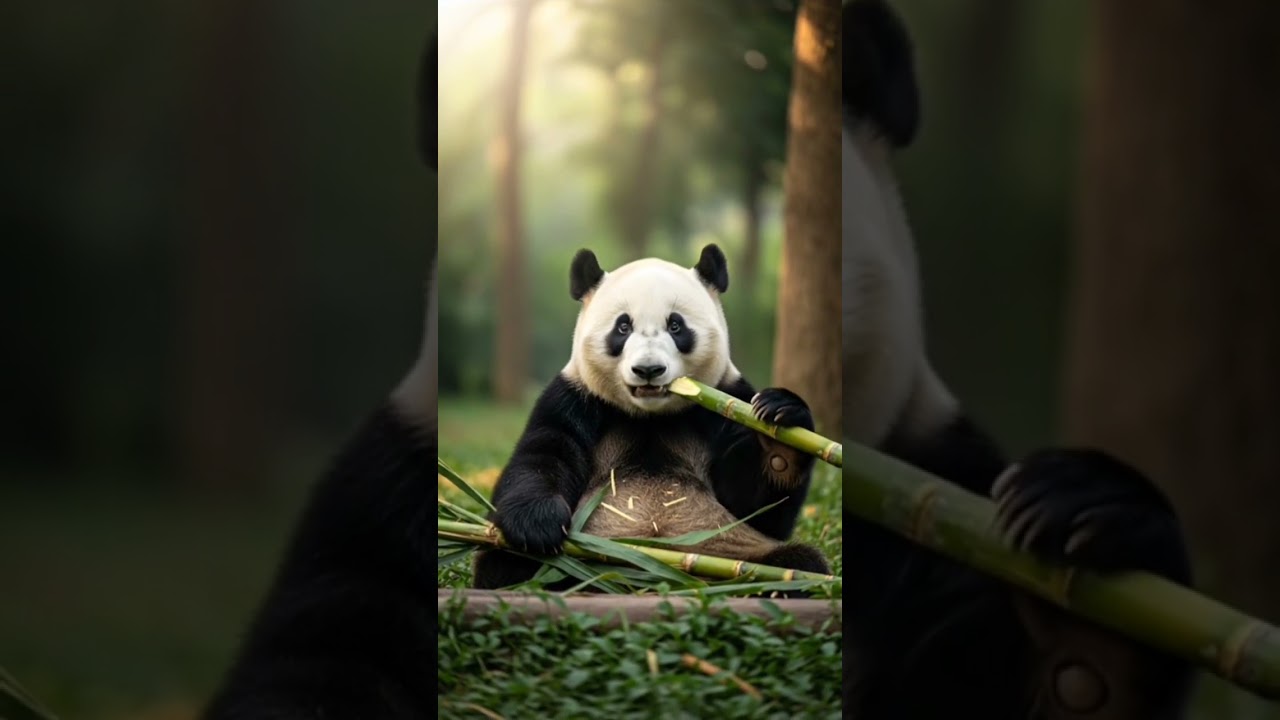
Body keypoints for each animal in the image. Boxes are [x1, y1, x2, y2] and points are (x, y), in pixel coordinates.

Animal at [472, 244, 831, 590]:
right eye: (623, 326)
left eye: (676, 325)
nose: (648, 370)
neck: (651, 416)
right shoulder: (574, 398)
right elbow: (541, 456)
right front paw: (539, 523)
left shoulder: (729, 400)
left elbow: (756, 507)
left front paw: (779, 429)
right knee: (505, 559)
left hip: (735, 549)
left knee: (799, 564)